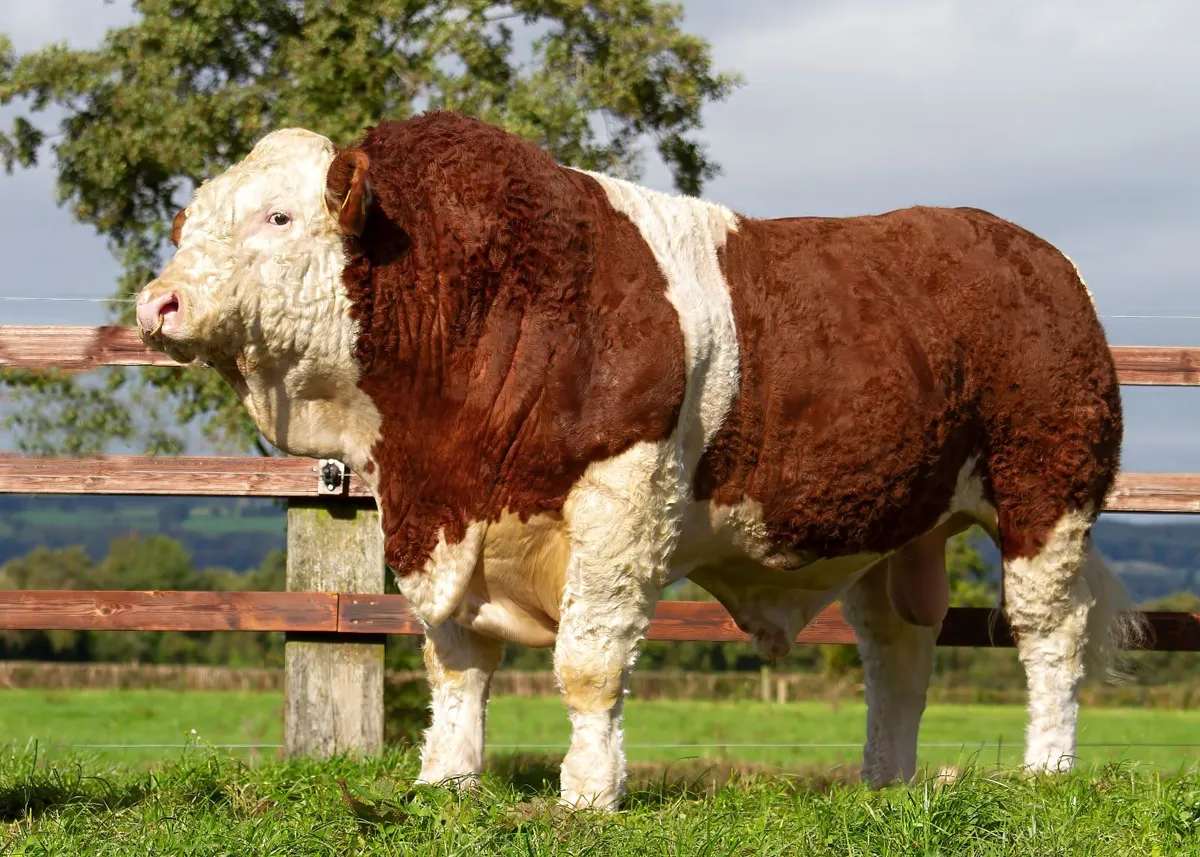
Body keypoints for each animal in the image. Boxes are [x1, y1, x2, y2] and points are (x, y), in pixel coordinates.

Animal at [135, 110, 1144, 809]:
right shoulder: (433, 522)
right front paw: (446, 783)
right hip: (898, 525)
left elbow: (588, 658)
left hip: (1047, 494)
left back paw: (1047, 771)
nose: (159, 302)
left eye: (278, 216)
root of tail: (1034, 255)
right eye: (187, 227)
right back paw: (885, 781)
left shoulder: (623, 497)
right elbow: (455, 661)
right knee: (898, 649)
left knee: (1048, 636)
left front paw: (589, 793)